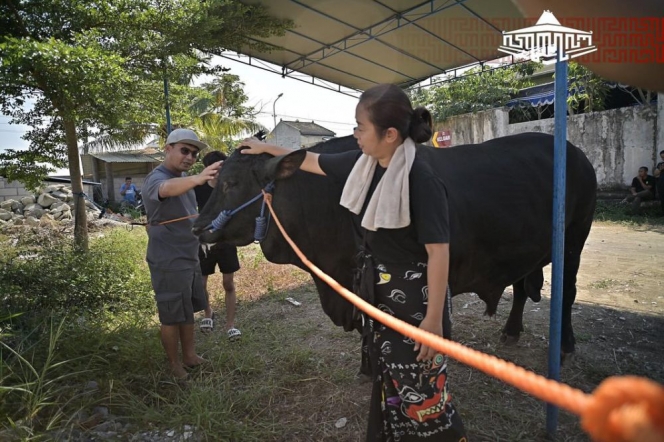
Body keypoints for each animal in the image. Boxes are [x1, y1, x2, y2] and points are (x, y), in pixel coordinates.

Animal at [192, 133, 596, 358]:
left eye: (229, 183)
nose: (197, 227)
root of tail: (576, 151)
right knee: (521, 285)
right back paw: (511, 331)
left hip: (575, 239)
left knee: (567, 291)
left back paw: (566, 344)